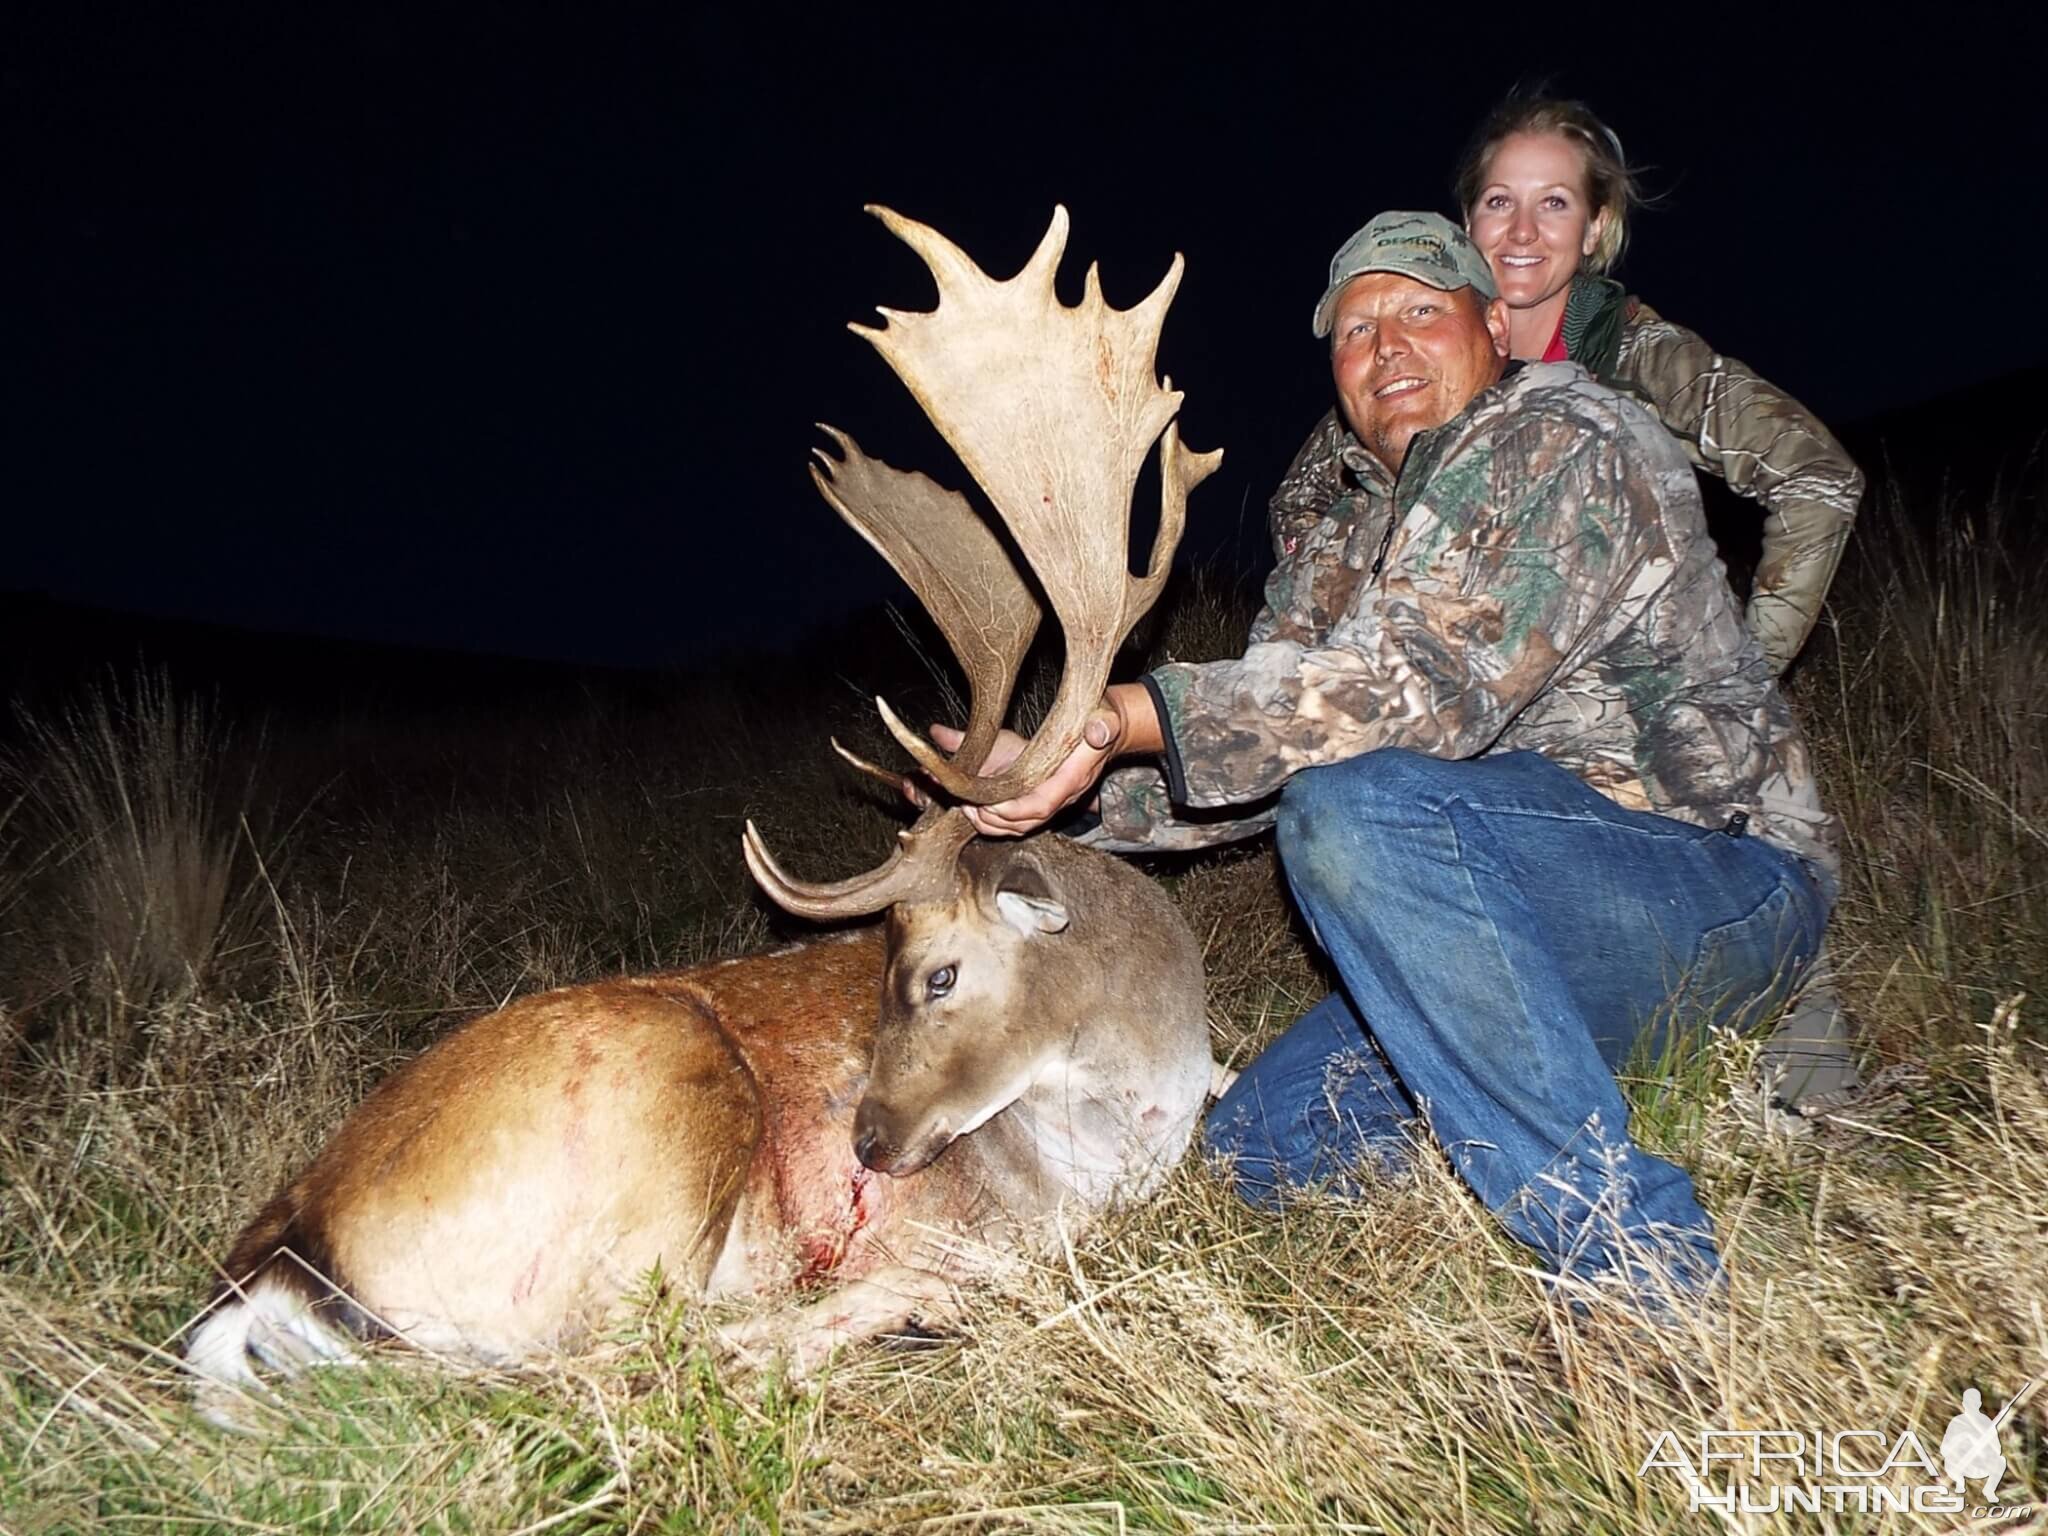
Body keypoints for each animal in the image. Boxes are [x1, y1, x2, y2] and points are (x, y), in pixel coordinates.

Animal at [184, 204, 1220, 1417]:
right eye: (894, 966)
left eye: (938, 975)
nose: (867, 1145)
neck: (1137, 1094)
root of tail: (285, 1255)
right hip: (658, 1113)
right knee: (630, 1368)